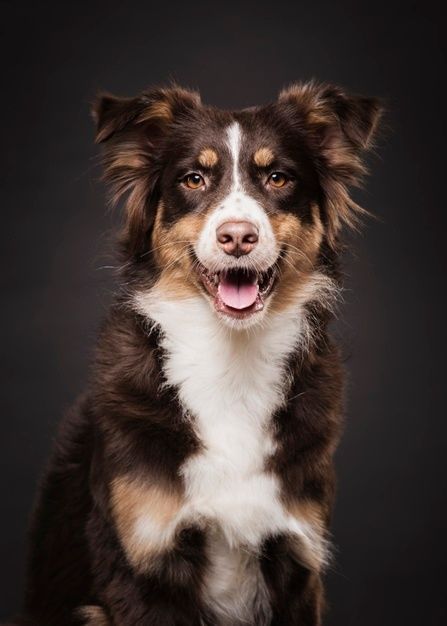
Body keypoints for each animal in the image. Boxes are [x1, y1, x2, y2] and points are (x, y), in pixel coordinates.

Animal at [15, 83, 384, 624]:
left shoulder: (298, 557)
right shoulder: (142, 564)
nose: (238, 237)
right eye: (194, 179)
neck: (231, 361)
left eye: (278, 177)